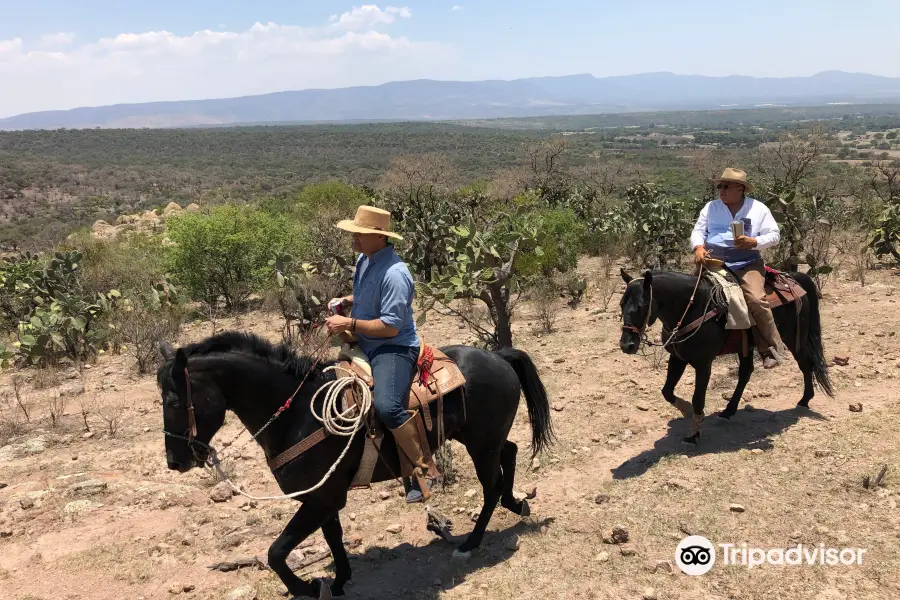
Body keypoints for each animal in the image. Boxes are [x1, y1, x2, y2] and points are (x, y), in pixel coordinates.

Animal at [156, 332, 552, 600]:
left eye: (174, 400)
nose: (175, 462)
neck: (300, 415)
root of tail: (499, 356)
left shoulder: (321, 499)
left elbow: (277, 552)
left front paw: (307, 586)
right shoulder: (322, 498)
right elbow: (333, 537)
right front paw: (339, 579)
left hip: (481, 446)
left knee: (491, 486)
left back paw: (470, 543)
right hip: (483, 441)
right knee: (510, 453)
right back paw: (517, 503)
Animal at [620, 270, 836, 442]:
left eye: (642, 306)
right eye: (622, 304)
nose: (626, 345)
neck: (692, 308)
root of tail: (794, 278)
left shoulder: (703, 363)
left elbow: (698, 397)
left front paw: (694, 433)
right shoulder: (678, 358)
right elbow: (667, 391)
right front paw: (687, 411)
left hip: (794, 338)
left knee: (806, 365)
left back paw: (804, 400)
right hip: (747, 346)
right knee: (745, 373)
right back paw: (728, 411)